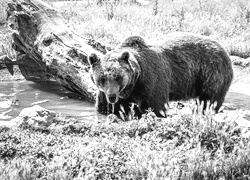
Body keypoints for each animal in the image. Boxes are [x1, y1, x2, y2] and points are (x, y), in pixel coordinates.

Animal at [88, 32, 234, 116]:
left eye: (118, 77)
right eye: (102, 78)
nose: (112, 96)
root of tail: (224, 50)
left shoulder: (152, 80)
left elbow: (156, 105)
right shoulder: (114, 92)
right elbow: (106, 107)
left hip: (211, 72)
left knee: (210, 99)